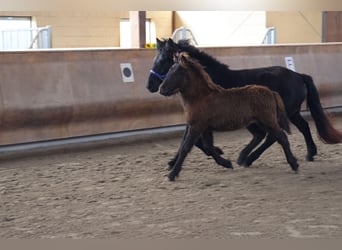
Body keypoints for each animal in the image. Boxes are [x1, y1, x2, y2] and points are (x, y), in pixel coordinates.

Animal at [147, 38, 342, 167]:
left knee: (272, 135)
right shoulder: (196, 118)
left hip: (275, 115)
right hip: (291, 113)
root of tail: (299, 75)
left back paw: (246, 159)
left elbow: (194, 142)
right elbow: (187, 141)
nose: (151, 85)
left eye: (164, 61)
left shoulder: (201, 119)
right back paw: (310, 153)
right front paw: (173, 162)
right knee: (302, 127)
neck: (207, 80)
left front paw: (219, 153)